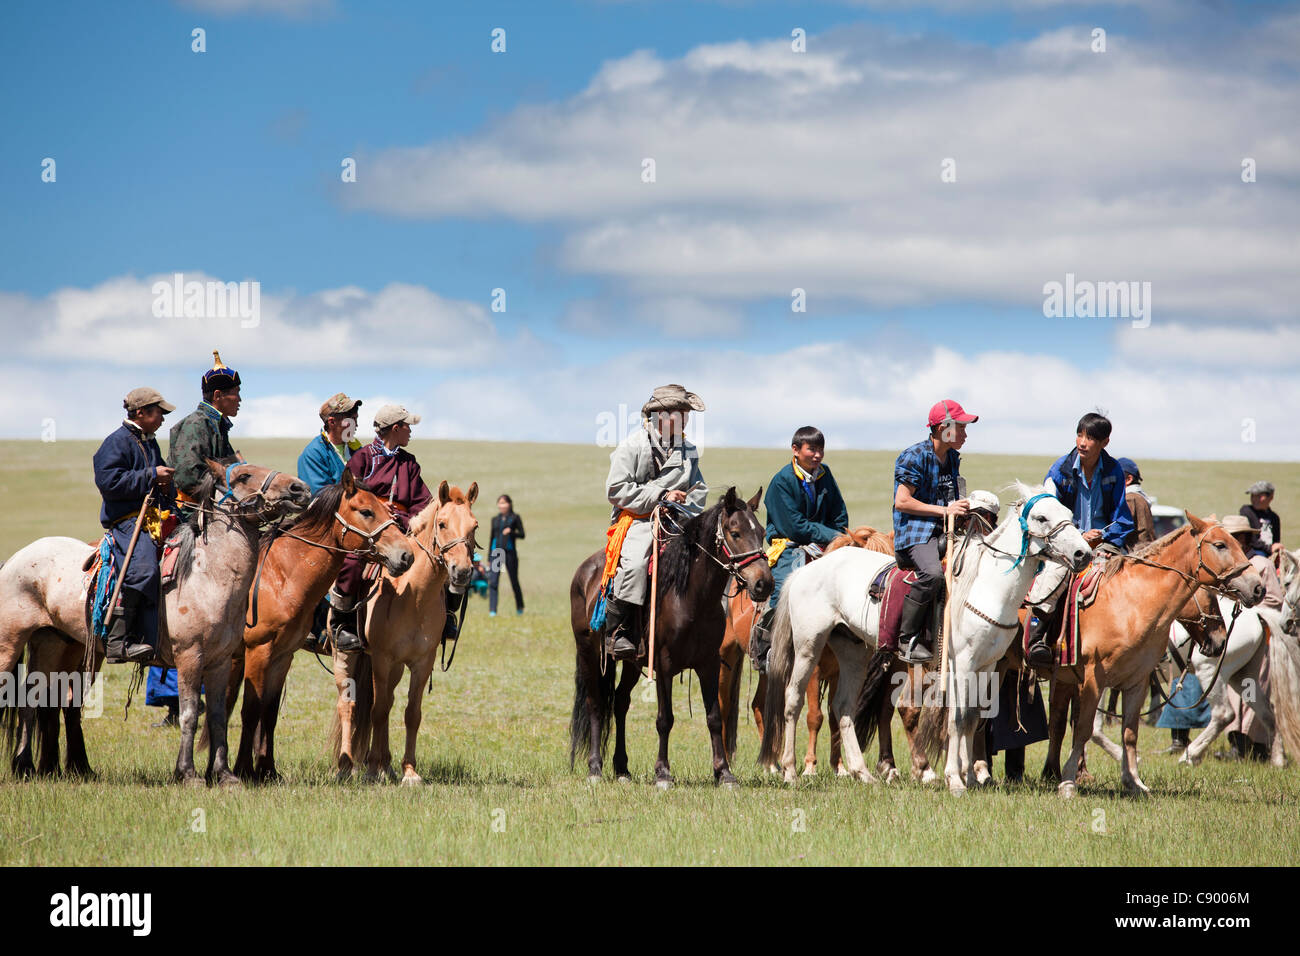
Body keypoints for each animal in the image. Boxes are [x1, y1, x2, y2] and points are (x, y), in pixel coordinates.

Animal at [0, 463, 309, 785]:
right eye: (245, 475)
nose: (299, 488)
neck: (208, 574)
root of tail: (16, 558)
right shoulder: (190, 657)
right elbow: (189, 714)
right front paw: (187, 773)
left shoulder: (220, 661)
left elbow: (217, 717)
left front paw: (223, 774)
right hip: (10, 642)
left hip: (50, 643)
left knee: (29, 701)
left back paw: (25, 766)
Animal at [332, 481, 480, 780]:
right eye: (442, 523)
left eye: (475, 526)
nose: (461, 572)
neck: (414, 596)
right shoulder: (381, 658)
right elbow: (377, 710)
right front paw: (371, 769)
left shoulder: (422, 662)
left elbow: (411, 713)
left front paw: (408, 771)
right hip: (345, 654)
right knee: (348, 705)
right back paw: (347, 767)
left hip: (397, 667)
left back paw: (386, 765)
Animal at [569, 489, 769, 790]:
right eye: (735, 532)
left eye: (763, 532)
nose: (763, 583)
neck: (692, 597)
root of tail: (585, 571)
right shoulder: (663, 665)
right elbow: (665, 719)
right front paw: (663, 773)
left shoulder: (709, 664)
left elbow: (714, 718)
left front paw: (724, 773)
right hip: (589, 654)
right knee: (595, 704)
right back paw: (595, 768)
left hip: (631, 662)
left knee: (619, 702)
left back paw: (622, 768)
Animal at [759, 481, 1092, 796]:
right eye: (1041, 517)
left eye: (1068, 513)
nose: (1083, 554)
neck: (986, 586)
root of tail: (808, 569)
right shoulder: (961, 664)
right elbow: (957, 718)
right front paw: (954, 779)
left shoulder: (987, 665)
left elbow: (973, 718)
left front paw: (971, 777)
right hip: (809, 645)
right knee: (793, 700)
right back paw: (790, 771)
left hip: (853, 651)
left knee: (842, 707)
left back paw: (862, 773)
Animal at [1040, 515, 1263, 801]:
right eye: (1220, 545)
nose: (1257, 587)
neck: (1131, 603)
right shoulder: (1094, 679)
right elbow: (1085, 728)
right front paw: (1069, 782)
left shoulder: (1137, 681)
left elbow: (1129, 733)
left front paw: (1133, 781)